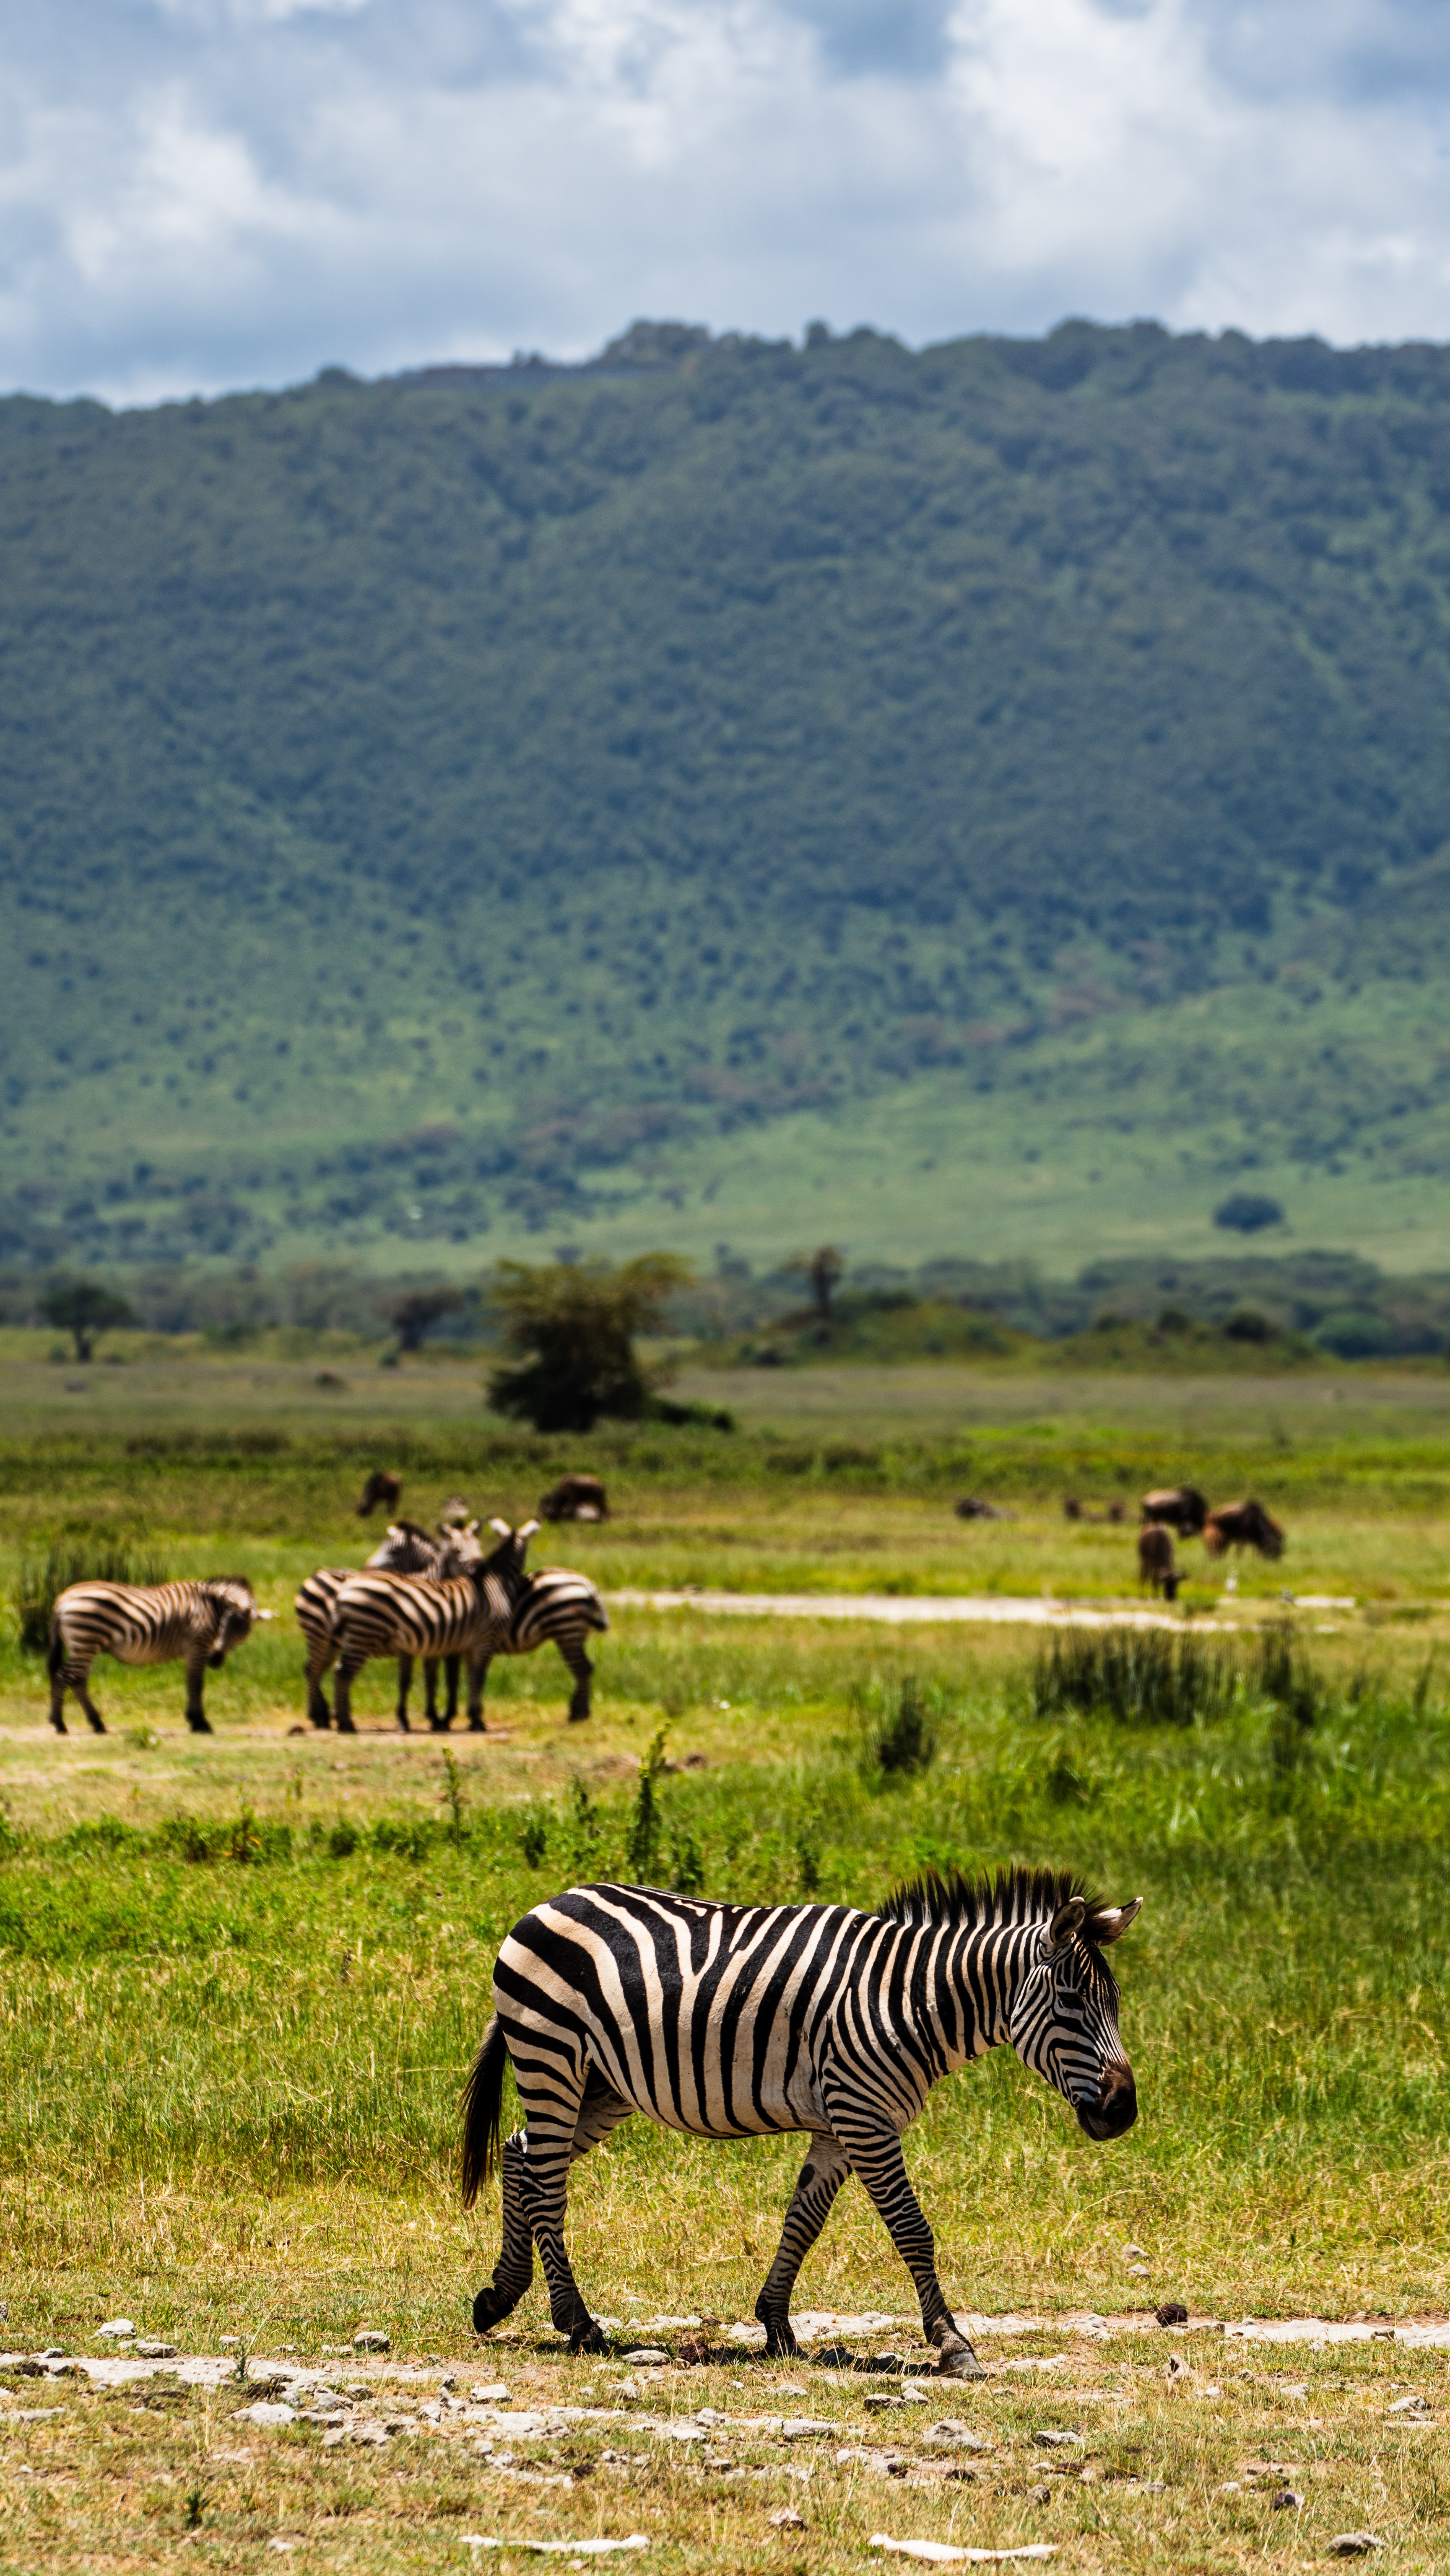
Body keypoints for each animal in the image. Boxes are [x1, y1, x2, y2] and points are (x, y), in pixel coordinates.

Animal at [47, 1566, 273, 1731]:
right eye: (223, 1625)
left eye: (243, 1632)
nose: (216, 1661)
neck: (209, 1607)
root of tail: (62, 1598)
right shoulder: (198, 1645)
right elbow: (196, 1683)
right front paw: (200, 1723)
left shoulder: (196, 1649)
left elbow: (191, 1682)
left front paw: (194, 1720)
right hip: (86, 1640)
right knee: (64, 1676)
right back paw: (60, 1724)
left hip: (82, 1644)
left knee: (77, 1680)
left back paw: (96, 1724)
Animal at [297, 1504, 484, 1731]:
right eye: (457, 1551)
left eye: (479, 1546)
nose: (481, 1566)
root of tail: (318, 1573)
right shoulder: (411, 1646)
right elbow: (407, 1680)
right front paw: (408, 1719)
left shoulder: (445, 1645)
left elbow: (443, 1679)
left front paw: (439, 1718)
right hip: (319, 1636)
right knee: (312, 1670)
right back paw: (321, 1716)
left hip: (331, 1642)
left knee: (317, 1670)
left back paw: (324, 1715)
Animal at [453, 1504, 613, 1731]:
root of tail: (587, 1584)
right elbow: (472, 1676)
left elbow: (474, 1677)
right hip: (577, 1632)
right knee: (585, 1668)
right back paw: (580, 1711)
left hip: (567, 1630)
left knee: (582, 1668)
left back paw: (578, 1714)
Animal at [466, 1854, 1149, 2370]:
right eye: (1069, 2000)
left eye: (1115, 2001)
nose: (1122, 2111)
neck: (909, 2000)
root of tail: (550, 1901)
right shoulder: (865, 2117)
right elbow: (911, 2229)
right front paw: (952, 2343)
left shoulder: (838, 2125)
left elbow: (803, 2220)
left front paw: (776, 2325)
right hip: (552, 2055)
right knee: (546, 2179)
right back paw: (577, 2324)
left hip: (603, 2085)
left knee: (521, 2156)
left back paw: (499, 2297)